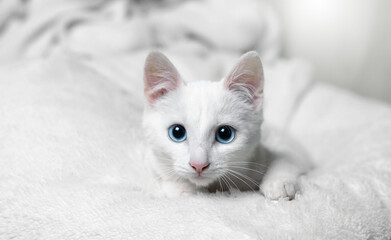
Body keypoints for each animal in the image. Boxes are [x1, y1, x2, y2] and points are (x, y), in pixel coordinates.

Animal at [142, 50, 310, 199]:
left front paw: (278, 184)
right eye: (177, 132)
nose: (199, 165)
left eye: (225, 134)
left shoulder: (287, 149)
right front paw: (185, 189)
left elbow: (287, 158)